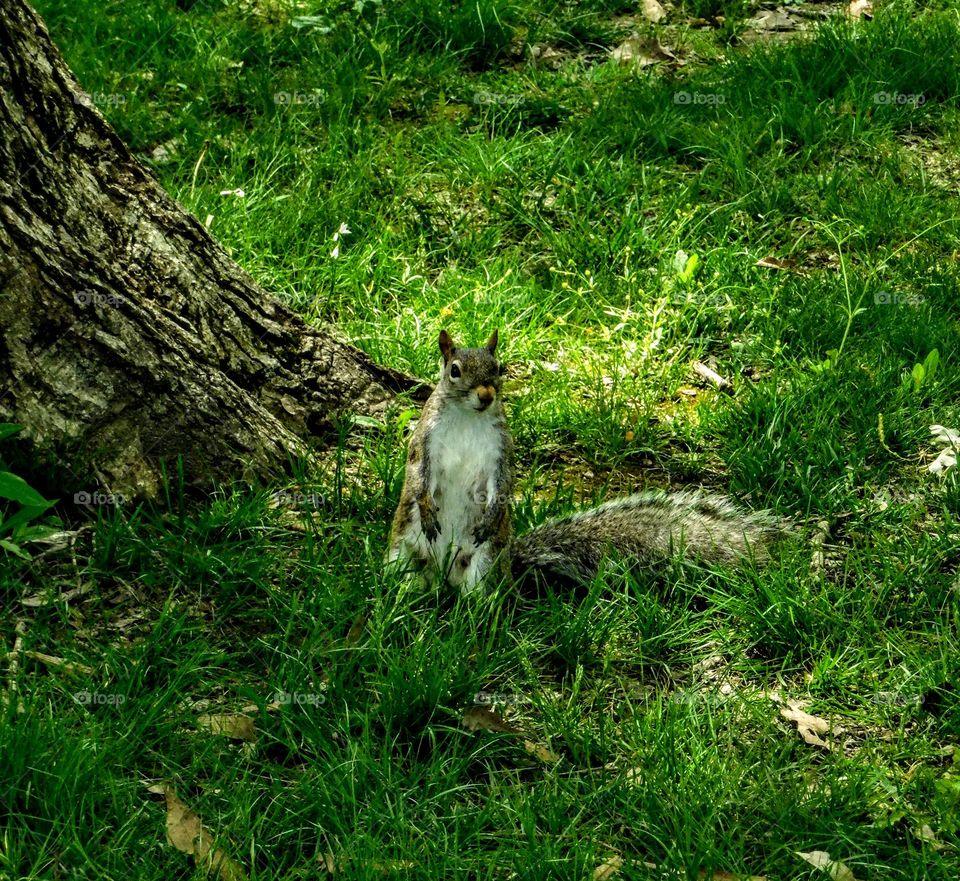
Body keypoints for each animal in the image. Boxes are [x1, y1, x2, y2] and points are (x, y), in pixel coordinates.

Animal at [386, 329, 784, 595]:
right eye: (454, 370)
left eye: (498, 368)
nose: (485, 395)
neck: (469, 417)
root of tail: (444, 577)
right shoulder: (424, 439)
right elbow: (418, 473)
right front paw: (427, 508)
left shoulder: (500, 450)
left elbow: (502, 485)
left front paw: (489, 518)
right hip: (403, 553)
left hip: (483, 566)